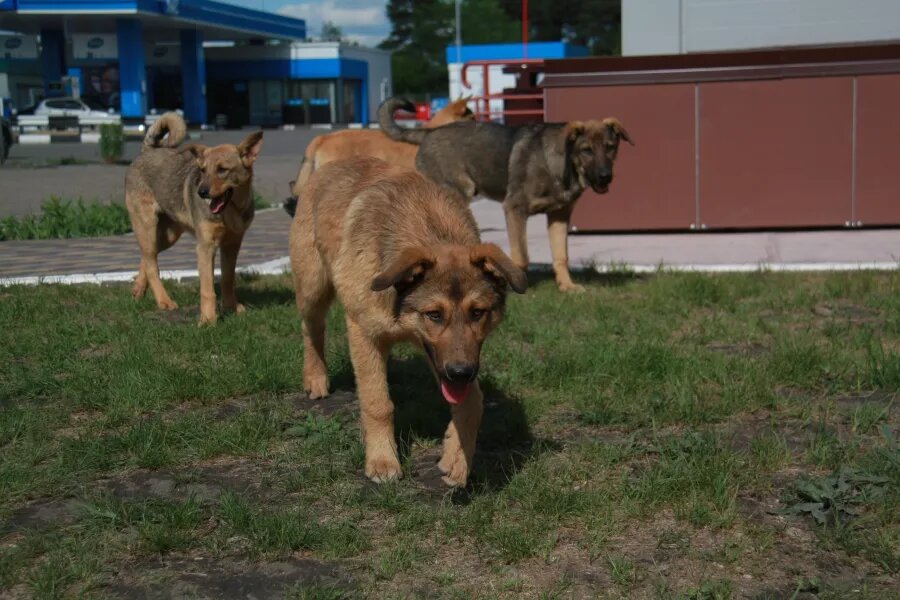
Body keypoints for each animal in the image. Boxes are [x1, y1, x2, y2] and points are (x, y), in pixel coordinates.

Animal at [125, 112, 264, 324]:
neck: (230, 212)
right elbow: (207, 289)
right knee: (152, 265)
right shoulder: (205, 247)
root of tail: (147, 151)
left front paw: (232, 307)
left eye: (222, 170)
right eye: (203, 170)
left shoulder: (232, 245)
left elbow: (228, 279)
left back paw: (139, 290)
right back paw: (164, 301)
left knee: (148, 258)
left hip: (167, 236)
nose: (201, 192)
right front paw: (208, 320)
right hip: (147, 226)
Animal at [288, 156, 528, 488]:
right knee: (311, 329)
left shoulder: (447, 361)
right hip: (313, 287)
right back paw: (315, 377)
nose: (462, 373)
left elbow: (474, 402)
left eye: (477, 313)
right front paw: (382, 460)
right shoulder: (364, 334)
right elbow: (377, 403)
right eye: (434, 314)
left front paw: (457, 458)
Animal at [380, 98, 632, 292]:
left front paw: (567, 286)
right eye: (586, 150)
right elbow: (521, 257)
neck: (563, 164)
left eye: (610, 147)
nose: (605, 177)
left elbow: (561, 256)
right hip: (456, 195)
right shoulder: (515, 209)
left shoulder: (559, 217)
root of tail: (428, 133)